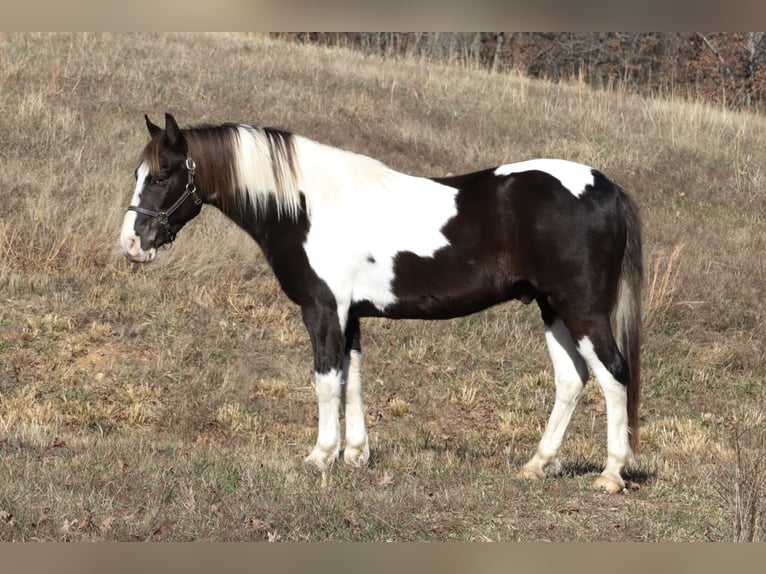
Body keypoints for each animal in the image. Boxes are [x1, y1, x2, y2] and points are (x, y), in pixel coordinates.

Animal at [120, 113, 644, 496]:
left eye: (164, 173)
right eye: (138, 172)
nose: (132, 243)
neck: (308, 207)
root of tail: (606, 189)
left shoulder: (323, 309)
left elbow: (326, 382)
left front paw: (320, 456)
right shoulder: (350, 314)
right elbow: (352, 380)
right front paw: (355, 455)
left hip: (582, 309)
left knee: (614, 374)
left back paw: (611, 474)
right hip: (552, 308)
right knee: (571, 380)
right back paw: (537, 464)